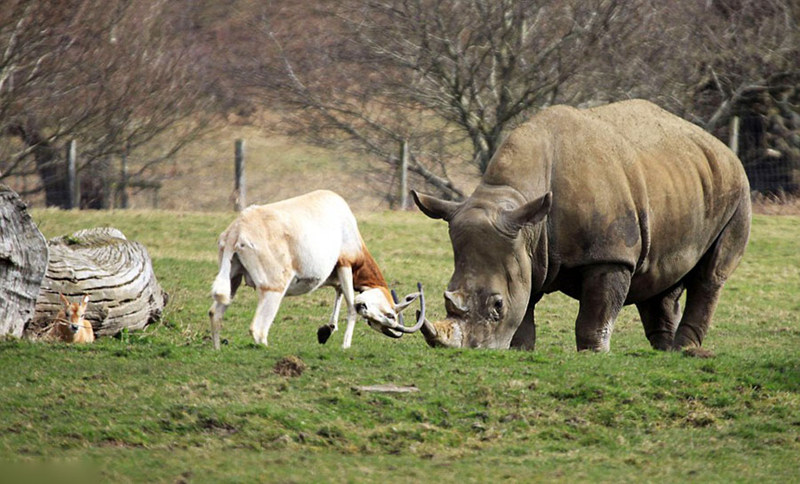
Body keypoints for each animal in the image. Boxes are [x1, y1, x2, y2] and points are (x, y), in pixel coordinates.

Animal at [209, 187, 428, 350]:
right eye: (390, 315)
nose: (363, 307)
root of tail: (236, 231)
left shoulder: (337, 276)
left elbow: (339, 293)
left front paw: (326, 330)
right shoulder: (345, 264)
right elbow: (350, 307)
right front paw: (345, 346)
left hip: (234, 280)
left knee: (215, 313)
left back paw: (217, 349)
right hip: (274, 289)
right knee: (258, 328)